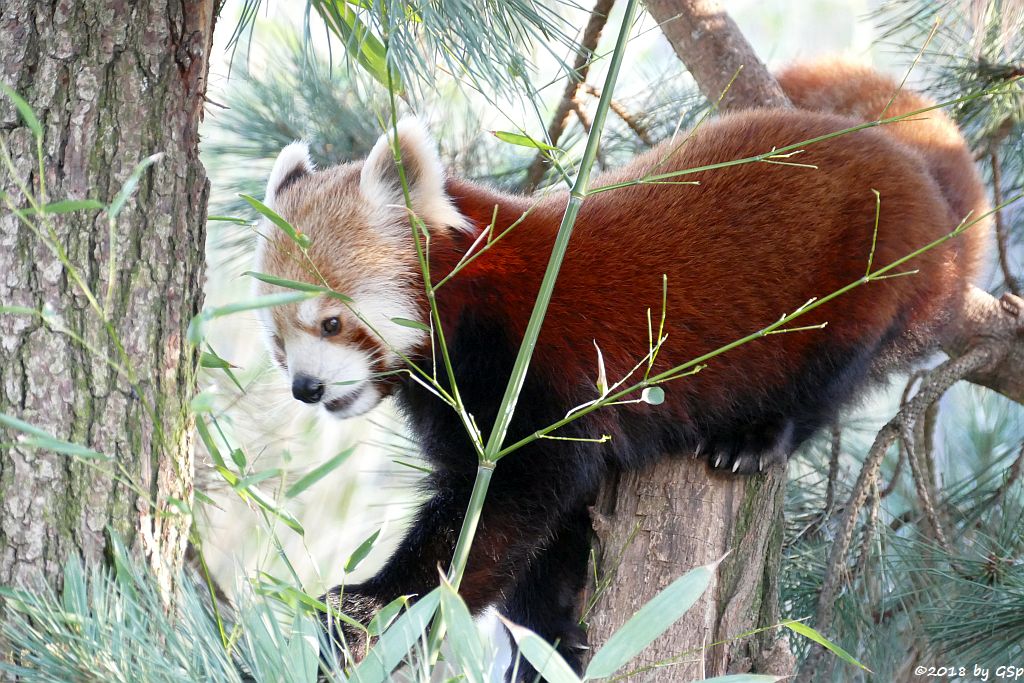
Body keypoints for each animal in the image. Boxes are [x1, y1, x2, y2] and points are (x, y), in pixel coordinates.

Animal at [251, 60, 987, 671]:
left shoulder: (530, 367)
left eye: (332, 322)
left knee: (825, 377)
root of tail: (913, 170)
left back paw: (753, 437)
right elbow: (550, 528)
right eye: (278, 341)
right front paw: (550, 639)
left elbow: (504, 505)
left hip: (862, 275)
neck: (471, 300)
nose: (307, 388)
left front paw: (374, 603)